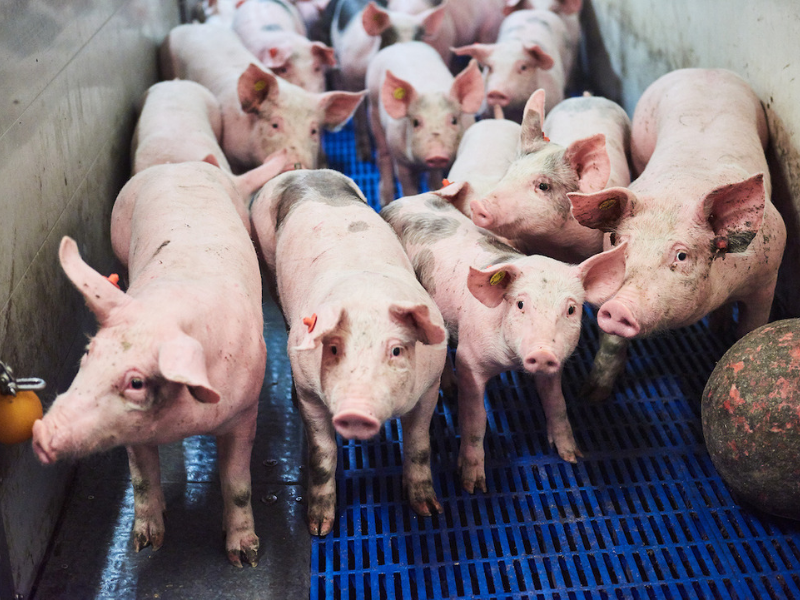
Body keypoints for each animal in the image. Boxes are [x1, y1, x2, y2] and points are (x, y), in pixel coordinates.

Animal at [32, 162, 268, 567]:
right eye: (88, 354)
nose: (41, 433)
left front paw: (245, 559)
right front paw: (145, 544)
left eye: (136, 383)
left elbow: (238, 485)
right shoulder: (130, 432)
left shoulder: (245, 410)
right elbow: (141, 479)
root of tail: (180, 164)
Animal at [250, 169, 448, 535]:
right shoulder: (310, 392)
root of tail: (302, 172)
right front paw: (318, 528)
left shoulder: (431, 385)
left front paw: (429, 511)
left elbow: (419, 445)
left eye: (396, 350)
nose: (356, 409)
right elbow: (323, 454)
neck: (365, 299)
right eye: (333, 348)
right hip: (266, 260)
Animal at [366, 41, 484, 206]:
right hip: (373, 111)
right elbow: (407, 186)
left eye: (454, 120)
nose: (437, 155)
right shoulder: (401, 160)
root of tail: (402, 44)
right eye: (416, 122)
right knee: (382, 154)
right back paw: (384, 199)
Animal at [381, 187, 626, 492]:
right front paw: (473, 486)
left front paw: (573, 456)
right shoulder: (469, 361)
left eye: (571, 309)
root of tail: (405, 199)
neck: (511, 363)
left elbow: (557, 404)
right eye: (520, 304)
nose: (543, 353)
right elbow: (476, 419)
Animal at [569, 68, 786, 401]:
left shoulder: (767, 277)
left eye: (681, 255)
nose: (617, 306)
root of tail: (704, 71)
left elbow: (750, 327)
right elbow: (611, 345)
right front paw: (591, 396)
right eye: (618, 242)